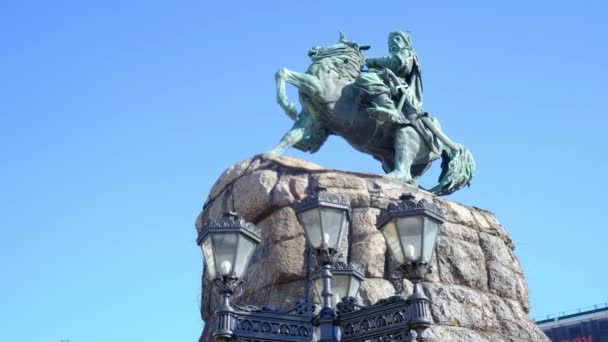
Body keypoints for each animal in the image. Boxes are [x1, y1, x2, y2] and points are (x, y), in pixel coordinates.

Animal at [270, 34, 476, 196]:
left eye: (342, 43)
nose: (313, 50)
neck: (337, 72)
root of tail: (443, 145)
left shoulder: (317, 88)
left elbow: (283, 72)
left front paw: (288, 106)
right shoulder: (311, 117)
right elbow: (290, 137)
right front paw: (270, 155)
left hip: (406, 135)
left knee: (403, 171)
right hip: (387, 159)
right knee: (410, 179)